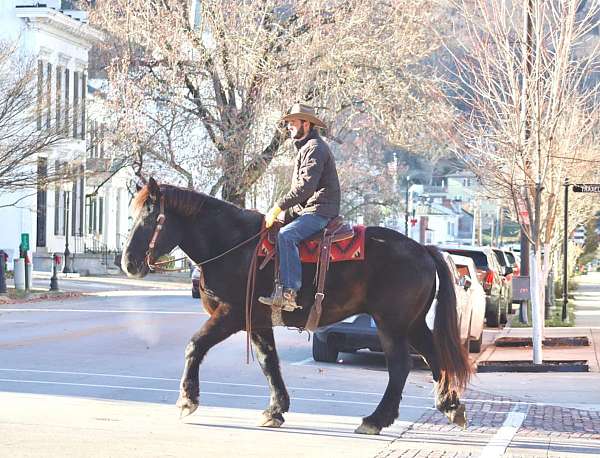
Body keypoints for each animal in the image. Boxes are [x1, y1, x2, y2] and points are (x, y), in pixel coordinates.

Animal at [120, 177, 468, 434]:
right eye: (130, 215)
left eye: (150, 217)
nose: (128, 262)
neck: (233, 245)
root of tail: (423, 249)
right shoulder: (257, 321)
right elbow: (269, 362)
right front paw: (275, 410)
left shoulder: (231, 314)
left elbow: (195, 345)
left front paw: (187, 400)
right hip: (412, 324)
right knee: (435, 357)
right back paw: (450, 405)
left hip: (391, 325)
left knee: (399, 367)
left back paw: (376, 419)